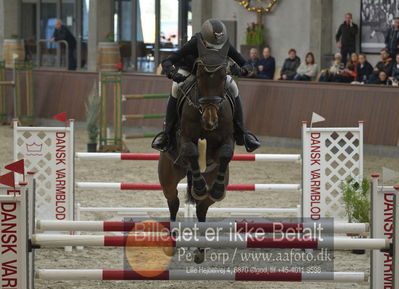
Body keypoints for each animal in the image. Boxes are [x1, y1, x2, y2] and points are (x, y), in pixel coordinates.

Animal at [158, 53, 236, 262]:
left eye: (223, 78)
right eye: (200, 79)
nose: (210, 121)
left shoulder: (226, 141)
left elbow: (225, 154)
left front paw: (213, 189)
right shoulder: (185, 139)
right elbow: (191, 151)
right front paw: (199, 187)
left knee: (202, 209)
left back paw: (200, 249)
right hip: (169, 177)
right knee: (173, 202)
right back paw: (172, 241)